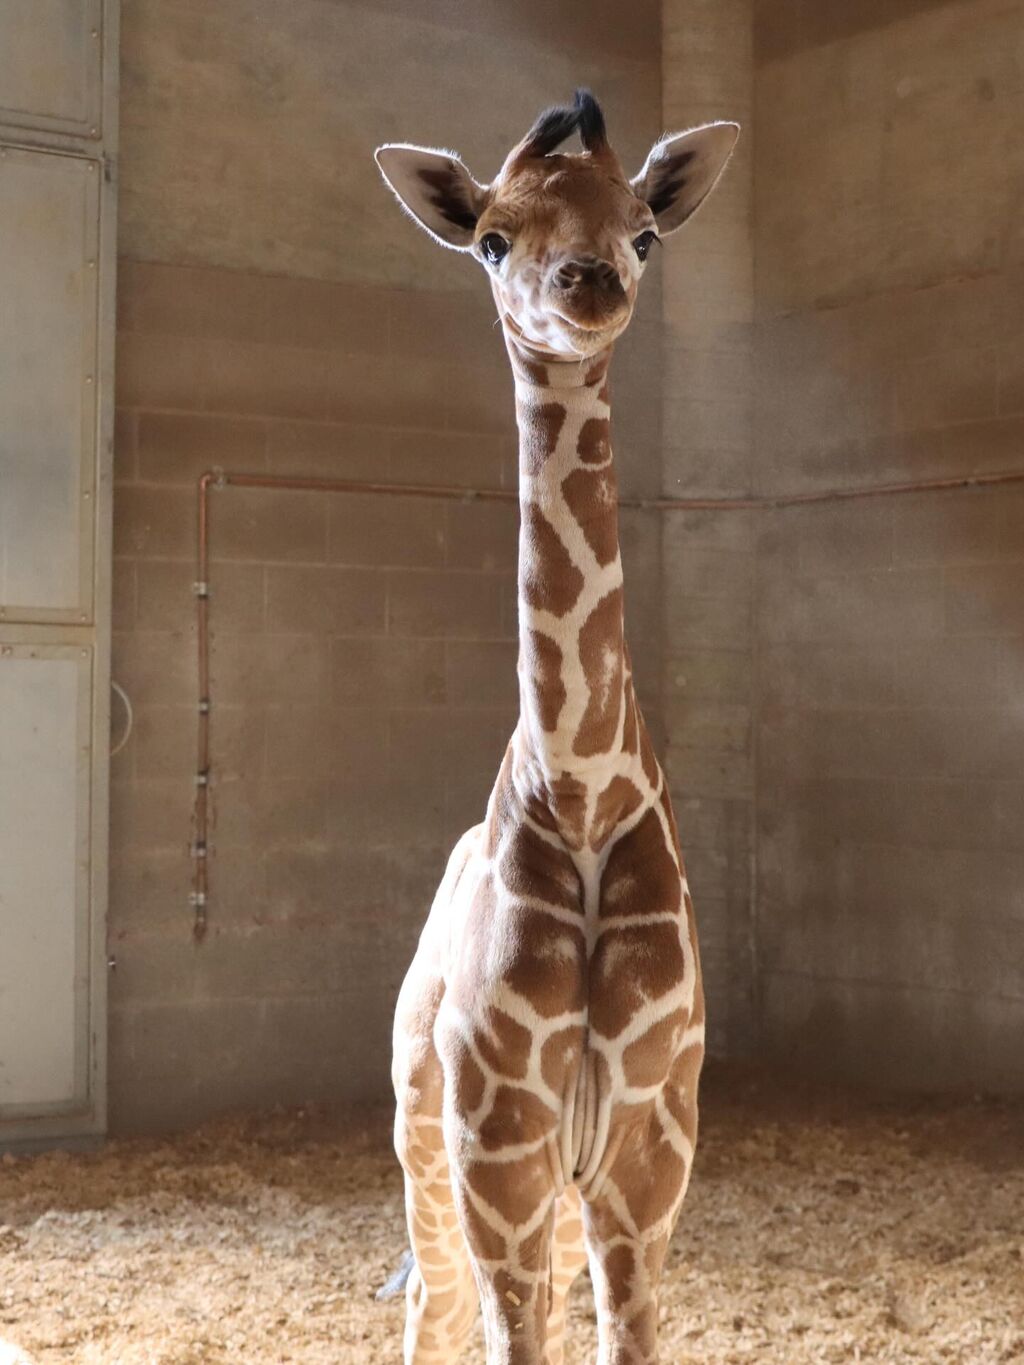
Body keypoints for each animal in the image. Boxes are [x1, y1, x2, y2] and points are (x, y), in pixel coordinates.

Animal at [374, 90, 738, 1365]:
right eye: (491, 239)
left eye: (644, 233)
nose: (588, 286)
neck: (579, 786)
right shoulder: (501, 1152)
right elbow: (505, 1335)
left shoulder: (647, 1157)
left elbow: (626, 1338)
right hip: (422, 1148)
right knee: (430, 1312)